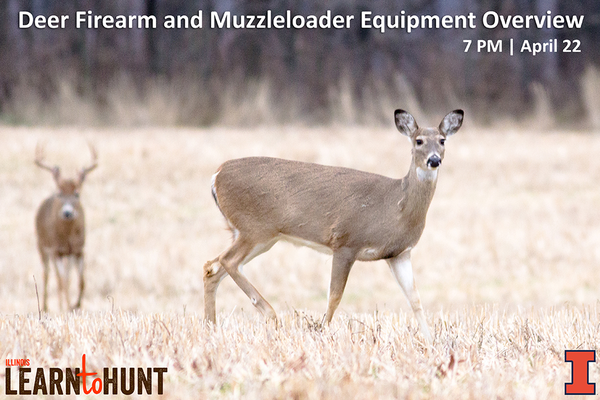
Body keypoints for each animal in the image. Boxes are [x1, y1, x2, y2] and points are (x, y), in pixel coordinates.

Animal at [34, 144, 97, 312]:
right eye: (60, 193)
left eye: (77, 194)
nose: (67, 213)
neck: (67, 236)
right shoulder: (56, 250)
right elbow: (61, 281)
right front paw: (67, 307)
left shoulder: (78, 250)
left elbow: (81, 281)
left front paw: (75, 305)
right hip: (42, 246)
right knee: (48, 275)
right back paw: (46, 307)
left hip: (65, 255)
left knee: (65, 278)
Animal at [203, 109, 463, 343]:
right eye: (419, 140)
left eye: (442, 140)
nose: (434, 160)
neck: (396, 207)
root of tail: (216, 175)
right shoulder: (346, 241)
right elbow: (335, 296)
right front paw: (321, 332)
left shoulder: (399, 253)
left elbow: (415, 298)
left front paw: (431, 342)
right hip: (255, 229)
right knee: (227, 261)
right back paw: (271, 315)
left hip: (254, 234)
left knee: (212, 267)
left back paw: (211, 328)